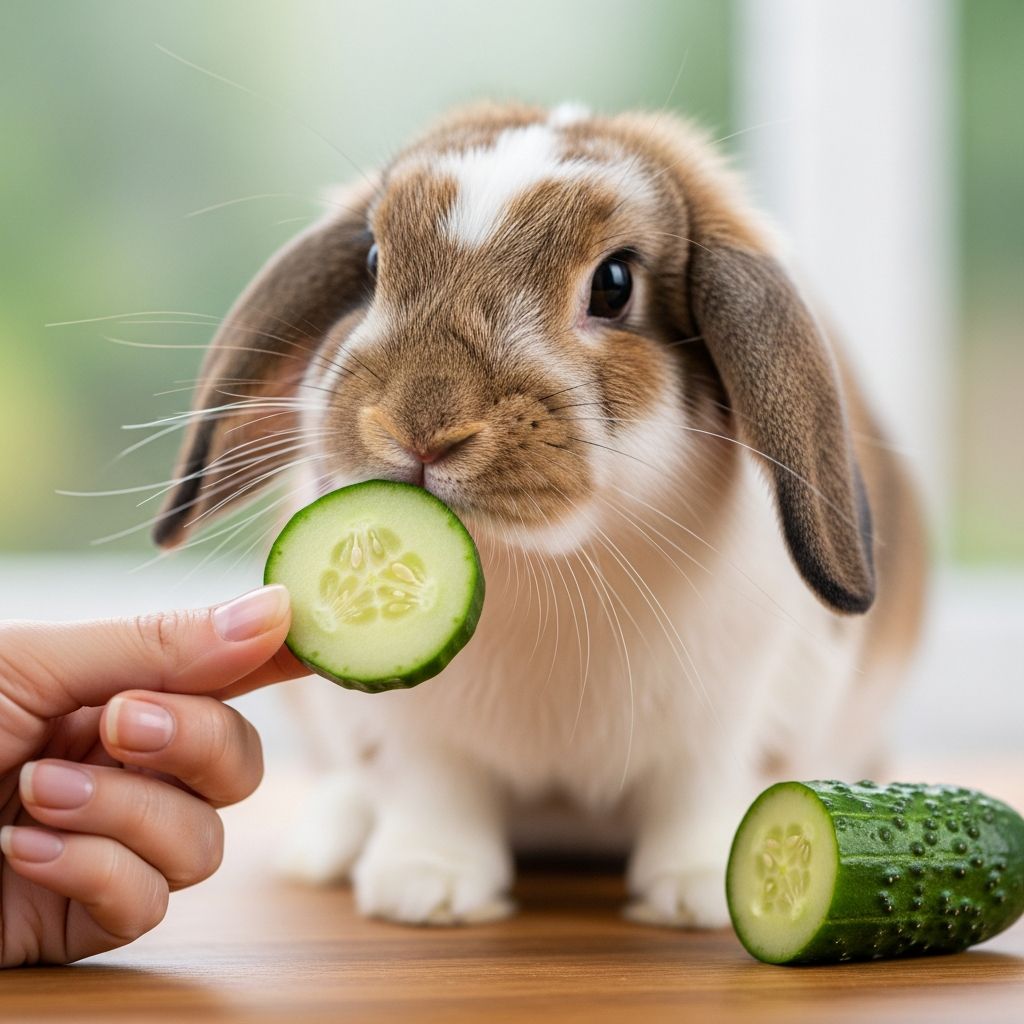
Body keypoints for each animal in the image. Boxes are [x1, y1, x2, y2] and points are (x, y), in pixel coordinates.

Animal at [153, 101, 927, 928]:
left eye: (615, 283)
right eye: (371, 261)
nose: (420, 425)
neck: (535, 568)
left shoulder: (726, 717)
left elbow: (703, 788)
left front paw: (698, 894)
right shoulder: (419, 733)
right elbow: (434, 790)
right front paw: (427, 888)